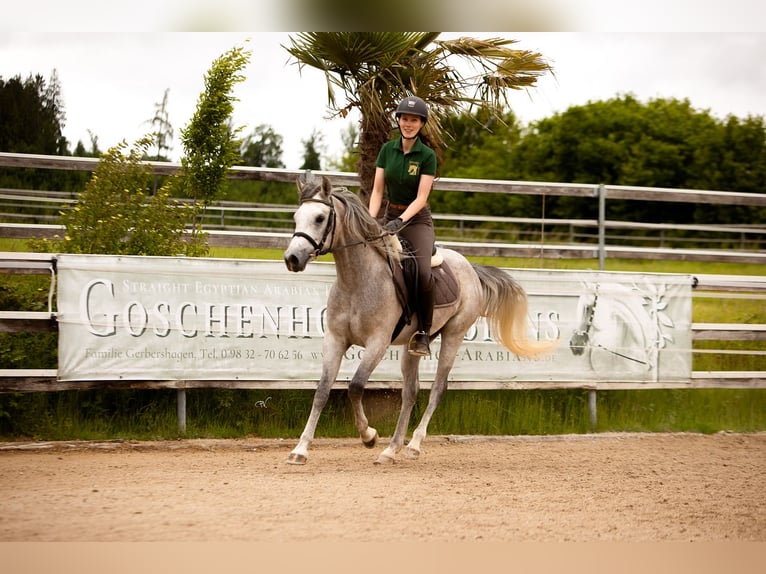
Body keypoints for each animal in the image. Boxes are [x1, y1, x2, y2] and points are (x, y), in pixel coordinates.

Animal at [283, 176, 555, 465]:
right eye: (296, 217)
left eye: (320, 217)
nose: (292, 258)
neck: (358, 280)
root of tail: (470, 267)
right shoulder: (335, 340)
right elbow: (322, 391)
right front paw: (300, 449)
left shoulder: (377, 343)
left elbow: (355, 387)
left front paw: (369, 436)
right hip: (413, 344)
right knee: (410, 392)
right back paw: (391, 450)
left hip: (454, 335)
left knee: (437, 388)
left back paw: (413, 445)